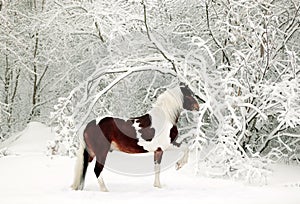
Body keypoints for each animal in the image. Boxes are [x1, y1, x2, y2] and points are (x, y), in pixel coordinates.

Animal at [71, 83, 200, 191]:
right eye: (190, 95)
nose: (198, 107)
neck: (164, 119)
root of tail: (89, 125)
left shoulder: (159, 150)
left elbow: (158, 166)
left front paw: (158, 185)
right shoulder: (164, 147)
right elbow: (184, 149)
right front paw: (178, 166)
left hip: (91, 153)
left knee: (84, 168)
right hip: (101, 152)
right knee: (97, 170)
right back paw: (105, 190)